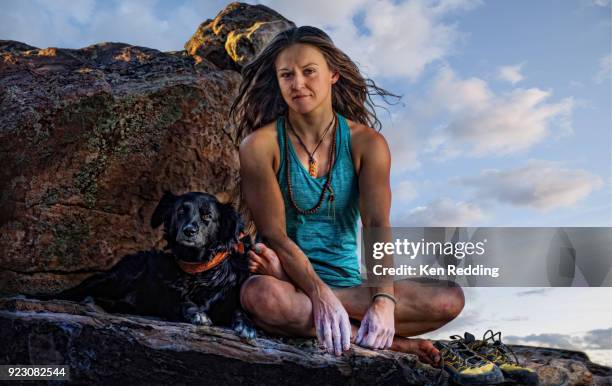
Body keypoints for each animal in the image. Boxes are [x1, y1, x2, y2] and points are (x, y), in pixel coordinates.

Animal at [40, 191, 256, 340]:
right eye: (181, 211)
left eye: (207, 216)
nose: (189, 231)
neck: (198, 270)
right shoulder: (168, 302)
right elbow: (184, 303)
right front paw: (197, 314)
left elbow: (240, 310)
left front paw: (247, 326)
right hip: (115, 279)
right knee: (75, 291)